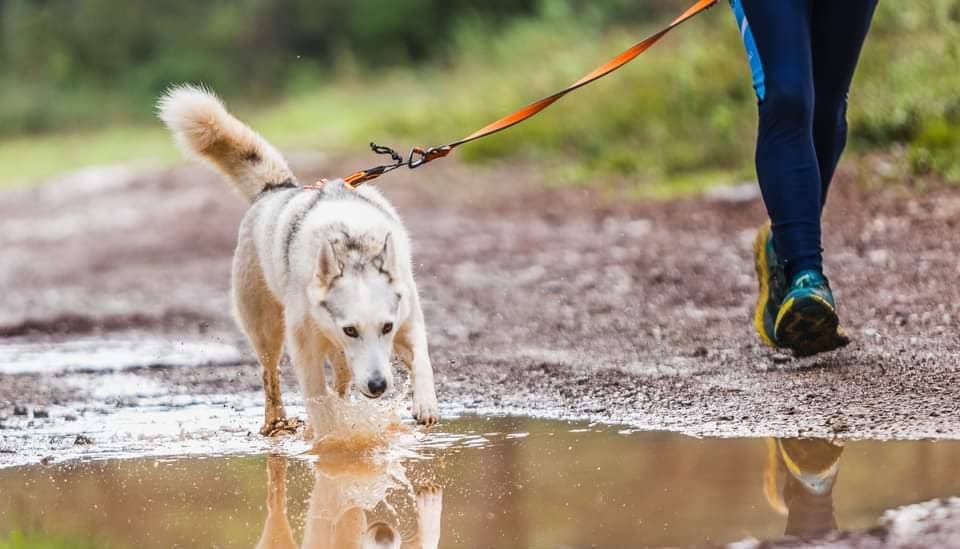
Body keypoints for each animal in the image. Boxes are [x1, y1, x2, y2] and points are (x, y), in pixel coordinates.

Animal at [157, 85, 439, 436]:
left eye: (386, 327)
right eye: (350, 330)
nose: (378, 385)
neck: (352, 244)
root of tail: (275, 190)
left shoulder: (407, 319)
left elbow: (422, 359)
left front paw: (425, 404)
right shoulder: (306, 346)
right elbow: (317, 396)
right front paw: (329, 437)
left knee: (341, 379)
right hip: (265, 328)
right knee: (270, 374)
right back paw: (276, 422)